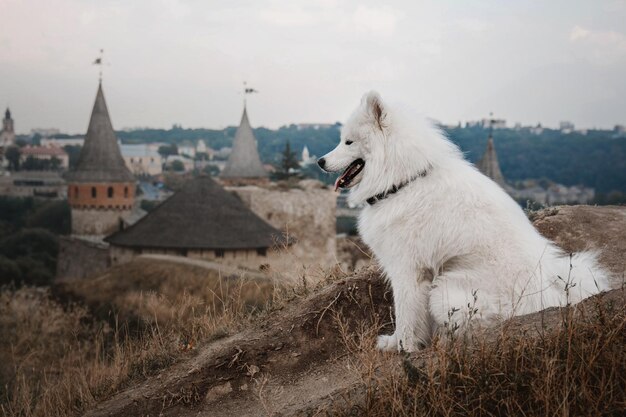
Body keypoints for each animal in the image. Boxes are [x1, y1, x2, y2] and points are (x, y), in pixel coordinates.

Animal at [316, 92, 608, 352]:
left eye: (348, 142)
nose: (320, 160)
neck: (405, 181)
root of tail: (554, 296)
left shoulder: (407, 269)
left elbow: (406, 313)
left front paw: (403, 346)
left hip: (445, 292)